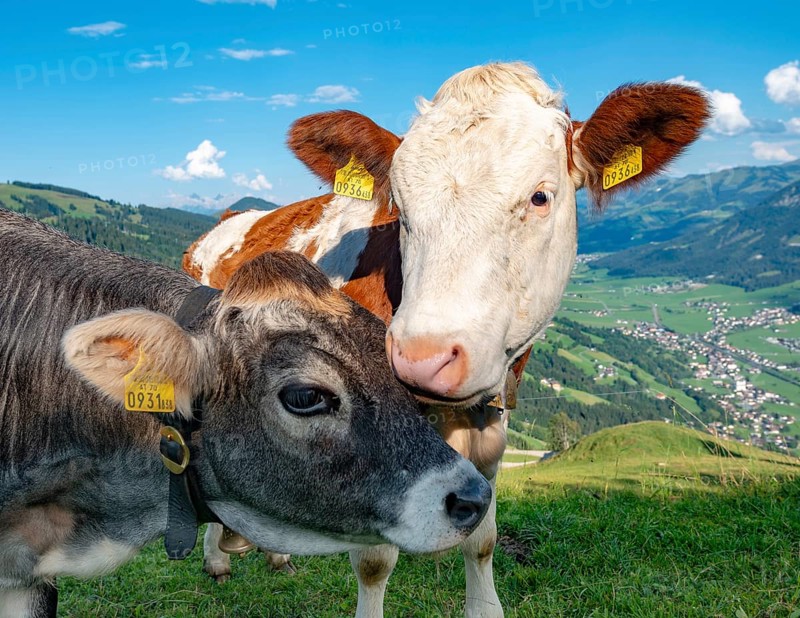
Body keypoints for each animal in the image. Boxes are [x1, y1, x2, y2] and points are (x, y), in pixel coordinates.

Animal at [183, 62, 710, 617]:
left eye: (539, 196)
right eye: (400, 206)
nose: (422, 357)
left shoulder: (492, 425)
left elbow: (483, 537)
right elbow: (375, 559)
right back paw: (218, 558)